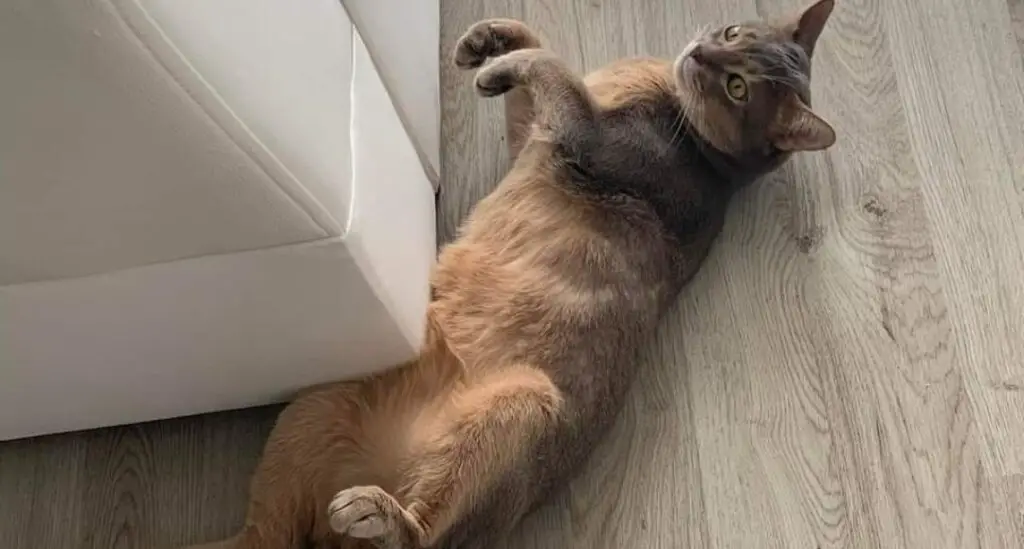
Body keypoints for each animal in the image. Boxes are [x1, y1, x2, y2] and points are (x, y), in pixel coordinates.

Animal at [184, 1, 835, 549]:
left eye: (737, 87)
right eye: (733, 34)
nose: (701, 53)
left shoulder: (588, 136)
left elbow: (555, 68)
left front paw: (501, 63)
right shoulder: (535, 137)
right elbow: (541, 60)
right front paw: (491, 38)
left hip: (519, 407)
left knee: (417, 537)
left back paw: (380, 515)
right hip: (324, 393)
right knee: (265, 534)